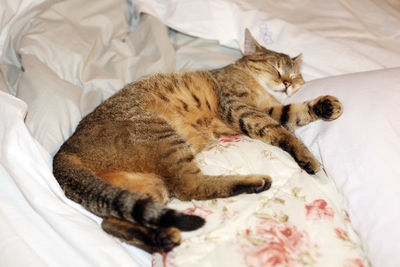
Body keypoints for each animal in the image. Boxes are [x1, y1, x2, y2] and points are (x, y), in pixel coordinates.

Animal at [51, 29, 342, 253]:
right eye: (275, 67)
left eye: (295, 76)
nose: (287, 83)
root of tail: (61, 154)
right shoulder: (239, 107)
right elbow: (282, 131)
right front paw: (307, 156)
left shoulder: (268, 109)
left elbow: (293, 112)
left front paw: (326, 106)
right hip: (163, 137)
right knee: (189, 186)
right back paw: (253, 182)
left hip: (147, 187)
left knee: (111, 222)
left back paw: (161, 238)